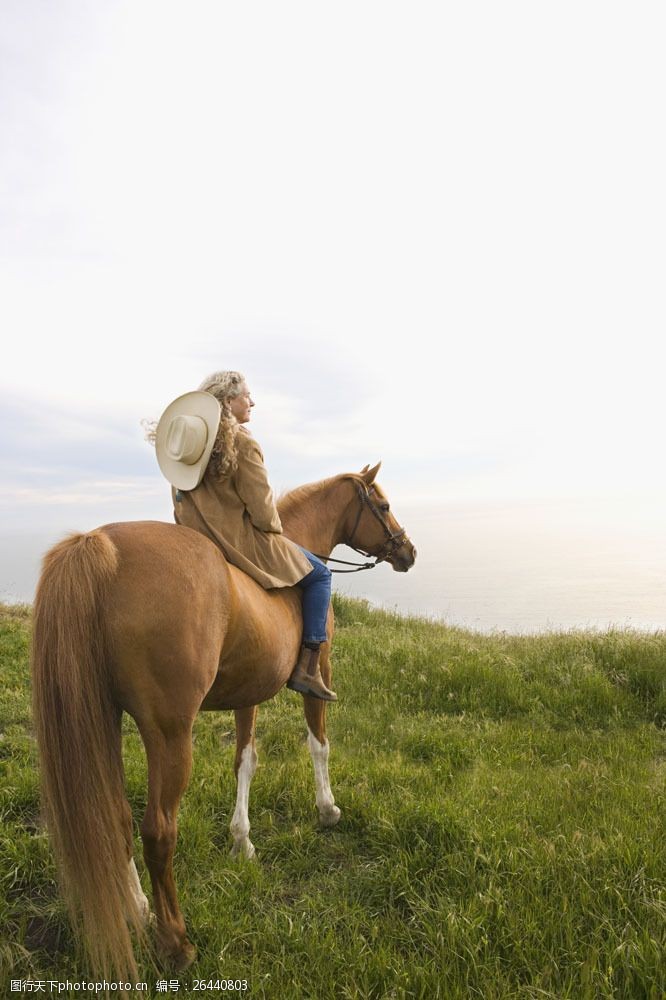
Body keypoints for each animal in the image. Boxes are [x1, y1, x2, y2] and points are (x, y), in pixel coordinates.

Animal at [32, 460, 416, 976]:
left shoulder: (247, 691)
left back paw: (137, 908)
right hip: (170, 734)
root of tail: (102, 546)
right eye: (384, 504)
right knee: (157, 831)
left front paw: (241, 841)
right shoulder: (323, 670)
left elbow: (245, 761)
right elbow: (318, 743)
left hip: (103, 722)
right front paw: (328, 809)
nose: (408, 551)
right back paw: (176, 942)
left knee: (114, 817)